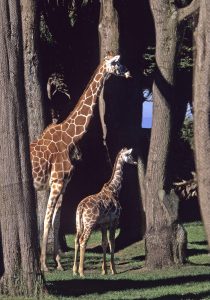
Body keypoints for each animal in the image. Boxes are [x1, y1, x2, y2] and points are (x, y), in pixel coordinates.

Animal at [30, 54, 130, 272]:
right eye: (116, 62)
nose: (128, 72)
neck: (69, 138)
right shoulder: (56, 181)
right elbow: (47, 221)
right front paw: (44, 265)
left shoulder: (63, 184)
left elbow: (56, 221)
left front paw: (58, 264)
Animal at [73, 148, 137, 276]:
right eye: (129, 155)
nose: (136, 162)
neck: (114, 190)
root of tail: (81, 208)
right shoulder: (115, 221)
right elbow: (112, 243)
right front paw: (114, 270)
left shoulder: (104, 224)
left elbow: (104, 243)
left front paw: (104, 270)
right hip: (90, 223)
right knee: (83, 240)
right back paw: (82, 272)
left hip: (79, 223)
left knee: (76, 240)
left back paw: (74, 271)